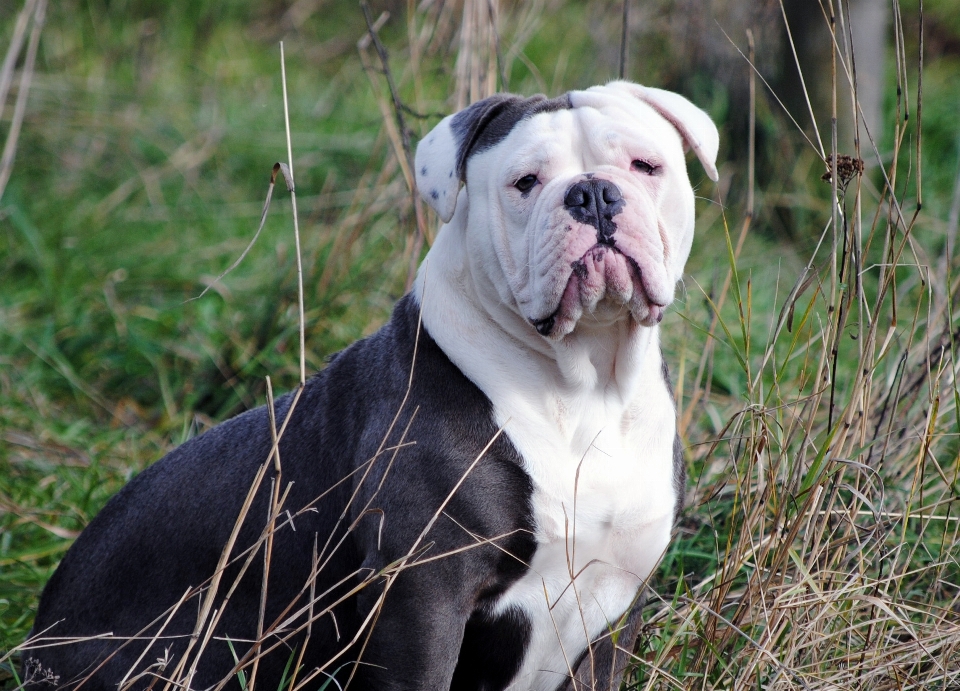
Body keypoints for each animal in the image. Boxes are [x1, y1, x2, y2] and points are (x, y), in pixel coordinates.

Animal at [22, 82, 716, 691]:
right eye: (526, 183)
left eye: (646, 165)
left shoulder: (613, 606)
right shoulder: (421, 597)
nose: (593, 193)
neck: (584, 384)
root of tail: (35, 640)